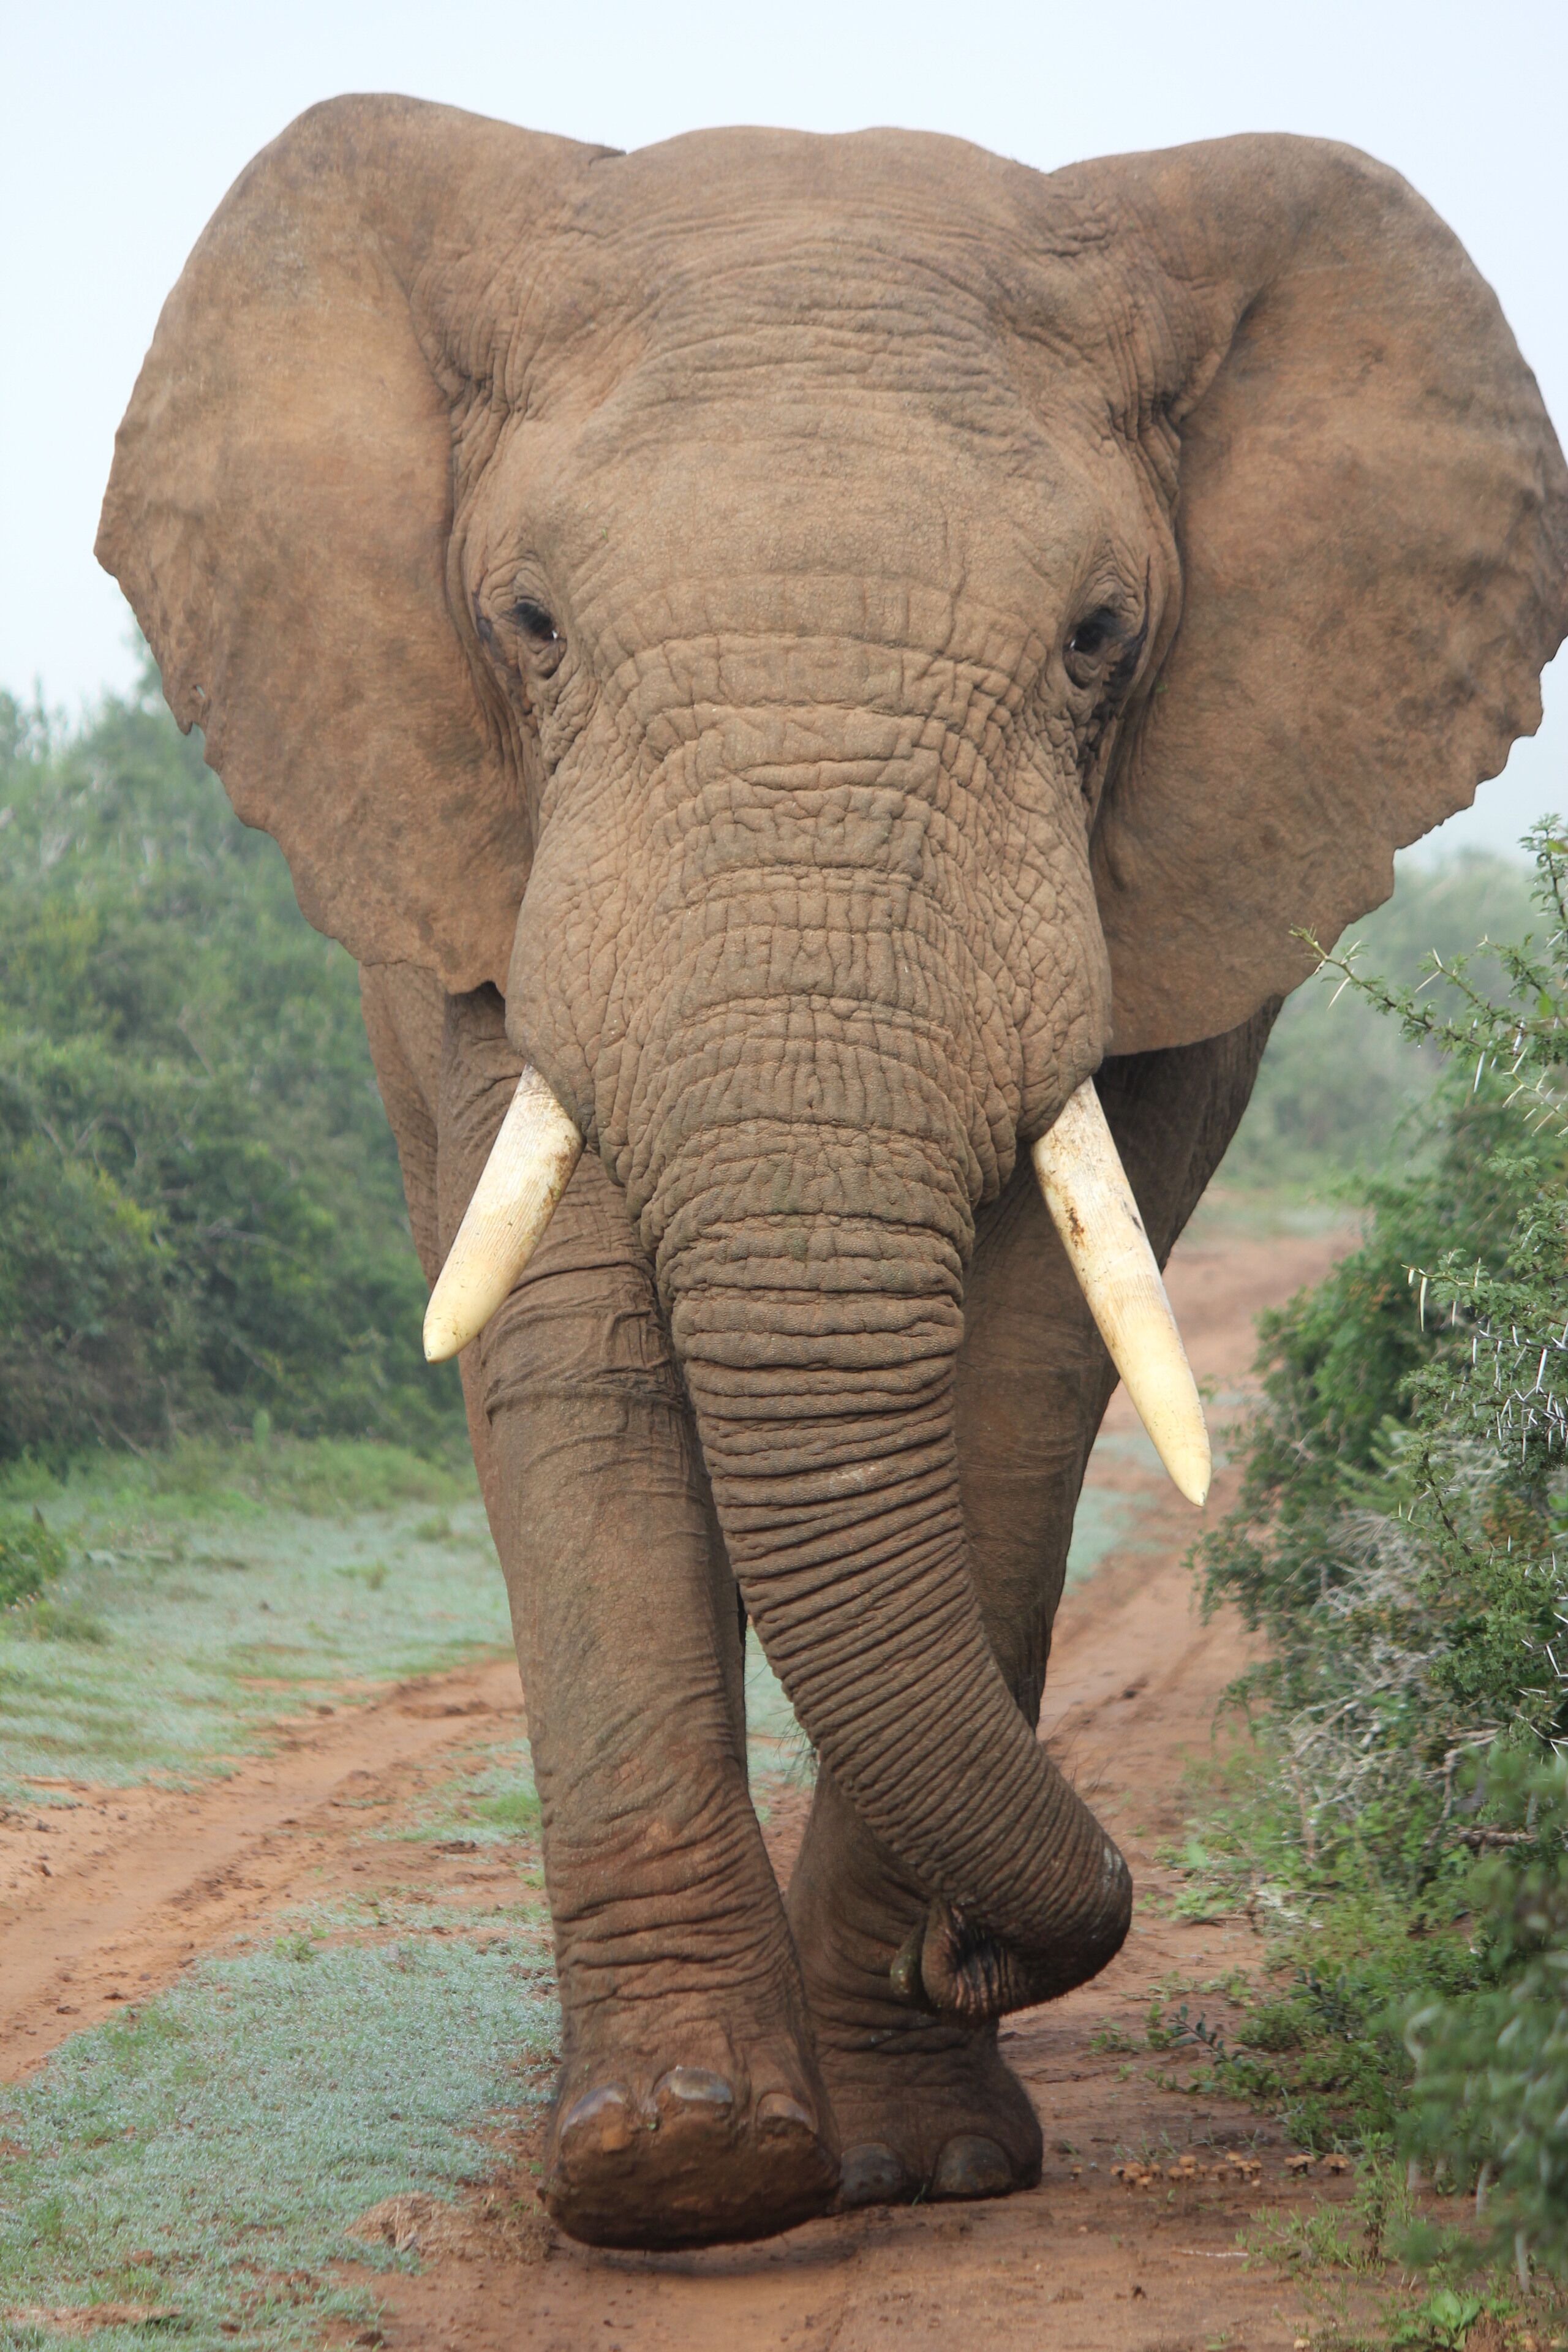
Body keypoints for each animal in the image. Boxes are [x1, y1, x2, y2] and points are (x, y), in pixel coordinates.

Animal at [97, 97, 1567, 2252]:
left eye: (1098, 641)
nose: (977, 1951)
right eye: (528, 626)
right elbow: (577, 1344)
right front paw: (682, 2165)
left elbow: (1021, 1372)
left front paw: (912, 2159)